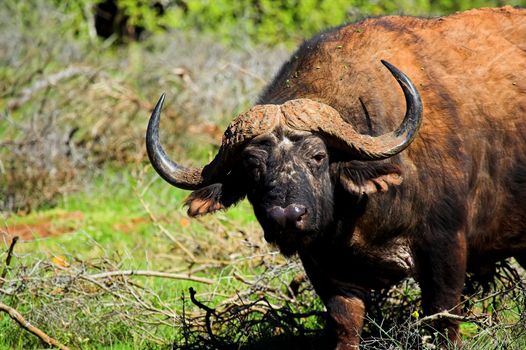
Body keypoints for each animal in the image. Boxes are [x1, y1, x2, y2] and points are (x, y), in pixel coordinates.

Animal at [145, 6, 526, 350]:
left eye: (318, 156)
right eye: (252, 166)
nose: (286, 217)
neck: (359, 215)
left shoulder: (445, 249)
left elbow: (443, 320)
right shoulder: (325, 268)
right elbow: (345, 322)